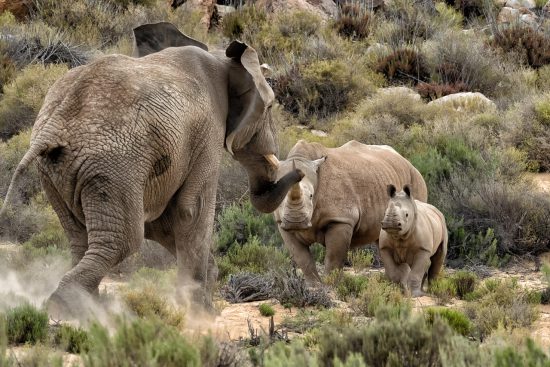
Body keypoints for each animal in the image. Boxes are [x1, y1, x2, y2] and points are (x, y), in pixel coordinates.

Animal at [0, 21, 304, 318]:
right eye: (270, 106)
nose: (300, 171)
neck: (222, 58)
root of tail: (54, 126)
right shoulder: (208, 133)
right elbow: (191, 211)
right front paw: (200, 314)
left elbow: (163, 222)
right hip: (112, 167)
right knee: (123, 240)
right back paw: (67, 308)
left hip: (58, 172)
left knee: (81, 238)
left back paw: (86, 308)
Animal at [274, 139, 430, 284]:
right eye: (279, 197)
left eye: (311, 196)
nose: (296, 221)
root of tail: (406, 161)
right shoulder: (282, 224)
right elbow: (302, 258)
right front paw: (315, 286)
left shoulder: (341, 219)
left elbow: (333, 258)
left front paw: (332, 285)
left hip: (415, 179)